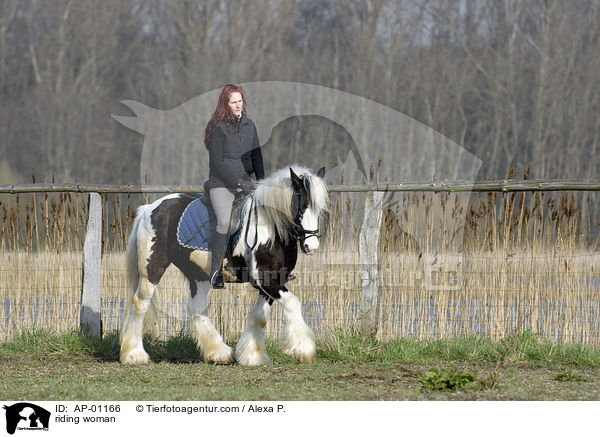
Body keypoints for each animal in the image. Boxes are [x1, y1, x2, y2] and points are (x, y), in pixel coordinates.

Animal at [120, 165, 330, 366]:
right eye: (300, 208)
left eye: (319, 209)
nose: (311, 247)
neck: (270, 228)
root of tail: (150, 208)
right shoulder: (266, 280)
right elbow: (293, 302)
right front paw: (303, 349)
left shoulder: (272, 281)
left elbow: (260, 318)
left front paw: (253, 356)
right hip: (152, 268)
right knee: (141, 302)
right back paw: (134, 355)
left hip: (199, 275)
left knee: (196, 307)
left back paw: (219, 353)